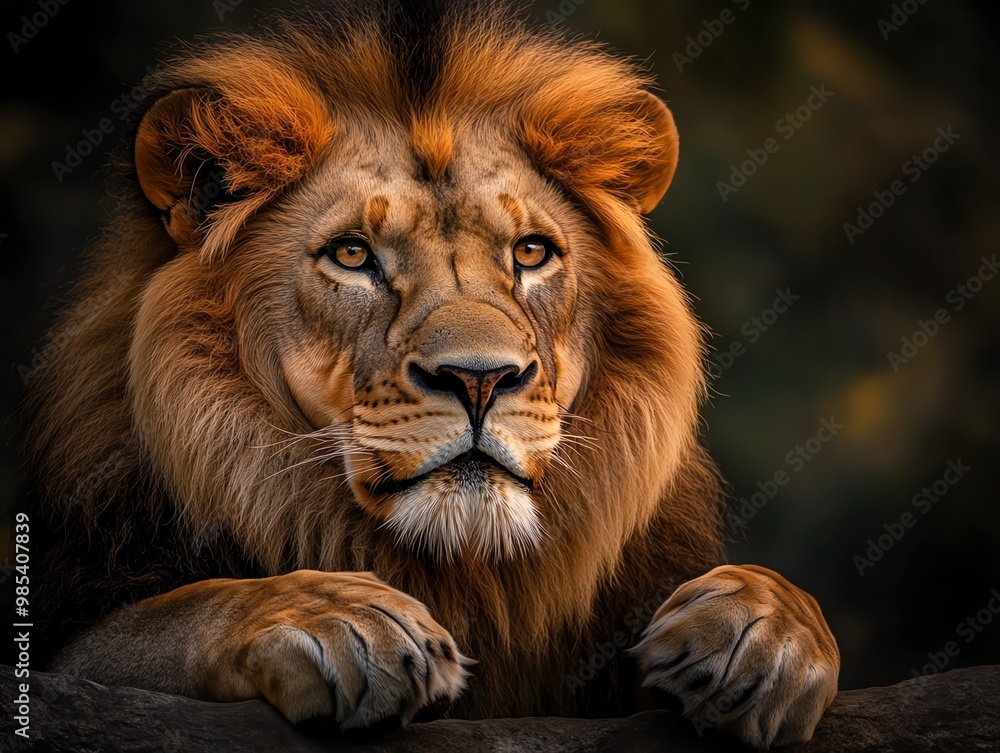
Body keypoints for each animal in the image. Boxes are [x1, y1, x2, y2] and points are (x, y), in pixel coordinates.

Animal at [19, 0, 839, 747]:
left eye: (531, 252)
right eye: (353, 254)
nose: (479, 380)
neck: (463, 569)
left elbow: (783, 600)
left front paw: (758, 632)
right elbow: (182, 612)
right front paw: (342, 620)